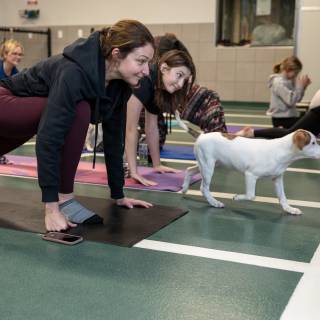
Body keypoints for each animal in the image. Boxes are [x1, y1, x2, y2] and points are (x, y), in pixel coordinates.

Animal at [181, 128, 320, 215]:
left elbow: (283, 197)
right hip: (208, 166)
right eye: (313, 142)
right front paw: (237, 198)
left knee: (189, 170)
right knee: (203, 188)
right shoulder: (250, 175)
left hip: (212, 164)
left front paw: (289, 209)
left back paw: (184, 188)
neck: (282, 151)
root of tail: (202, 135)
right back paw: (214, 202)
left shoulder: (277, 178)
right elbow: (251, 195)